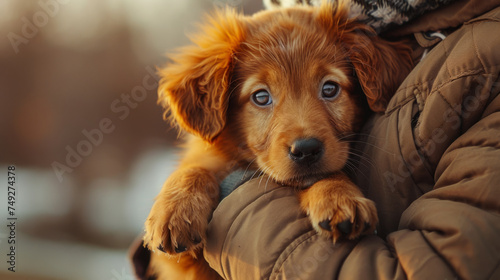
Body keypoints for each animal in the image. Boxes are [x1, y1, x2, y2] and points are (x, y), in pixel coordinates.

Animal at [143, 1, 412, 278]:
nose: (306, 150)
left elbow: (327, 172)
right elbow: (194, 168)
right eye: (261, 97)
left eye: (330, 89)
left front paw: (340, 197)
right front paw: (175, 210)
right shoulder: (182, 264)